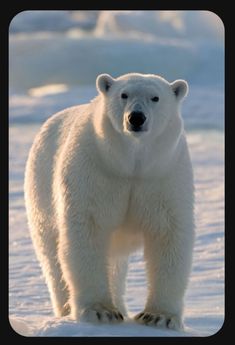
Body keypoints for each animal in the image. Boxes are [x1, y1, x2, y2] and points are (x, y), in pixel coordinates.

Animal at [24, 72, 196, 328]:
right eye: (123, 95)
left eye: (155, 97)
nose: (136, 117)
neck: (130, 164)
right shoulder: (95, 171)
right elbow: (88, 231)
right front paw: (99, 311)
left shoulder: (163, 175)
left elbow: (168, 234)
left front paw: (159, 317)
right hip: (40, 188)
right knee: (52, 255)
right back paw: (67, 309)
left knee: (114, 262)